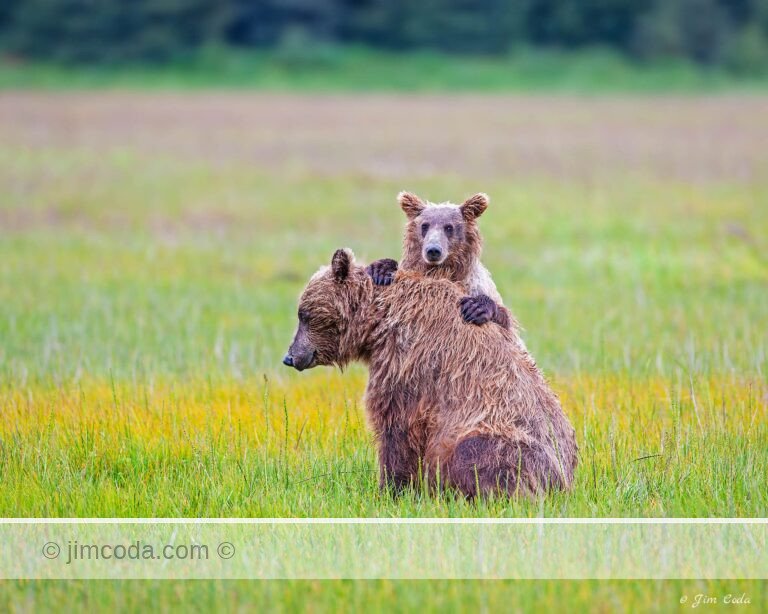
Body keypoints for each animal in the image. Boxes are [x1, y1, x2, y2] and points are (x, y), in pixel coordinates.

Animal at [283, 248, 577, 497]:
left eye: (303, 314)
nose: (290, 356)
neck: (380, 321)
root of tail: (564, 483)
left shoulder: (407, 362)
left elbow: (396, 425)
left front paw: (390, 490)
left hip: (503, 438)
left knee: (475, 454)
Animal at [367, 191, 514, 330]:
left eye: (449, 227)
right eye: (425, 226)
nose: (433, 250)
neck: (441, 270)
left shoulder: (475, 286)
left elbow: (504, 317)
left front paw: (475, 307)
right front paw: (381, 270)